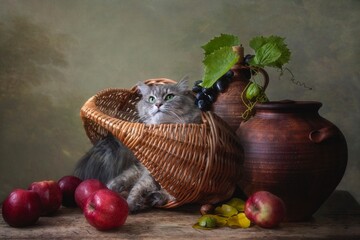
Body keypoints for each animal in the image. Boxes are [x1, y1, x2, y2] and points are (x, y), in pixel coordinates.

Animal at [74, 80, 202, 212]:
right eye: (151, 99)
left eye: (169, 97)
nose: (158, 104)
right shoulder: (150, 174)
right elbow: (138, 188)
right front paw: (131, 204)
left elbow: (170, 193)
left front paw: (153, 198)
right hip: (134, 171)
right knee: (119, 182)